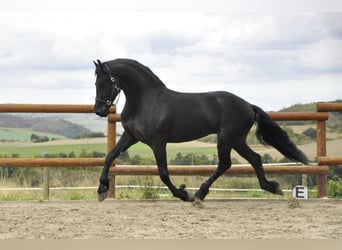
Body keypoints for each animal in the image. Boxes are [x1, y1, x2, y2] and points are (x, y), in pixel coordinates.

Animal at [92, 57, 308, 202]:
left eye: (106, 81)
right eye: (95, 82)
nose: (99, 110)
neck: (146, 101)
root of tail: (248, 105)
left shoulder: (158, 142)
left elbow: (163, 172)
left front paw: (183, 193)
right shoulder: (131, 136)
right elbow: (109, 157)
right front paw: (102, 189)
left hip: (226, 139)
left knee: (225, 164)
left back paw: (199, 194)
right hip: (237, 140)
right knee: (255, 158)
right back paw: (271, 187)